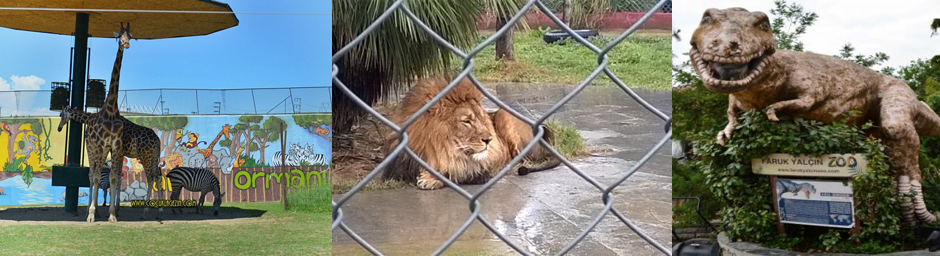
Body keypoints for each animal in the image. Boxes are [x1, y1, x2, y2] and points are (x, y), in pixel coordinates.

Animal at [380, 76, 560, 190]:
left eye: (481, 118)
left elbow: (457, 172)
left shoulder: (481, 172)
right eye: (466, 121)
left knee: (521, 157)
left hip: (504, 114)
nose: (489, 139)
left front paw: (430, 179)